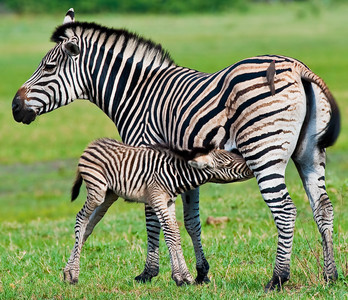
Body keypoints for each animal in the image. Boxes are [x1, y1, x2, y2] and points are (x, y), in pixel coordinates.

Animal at [64, 137, 250, 284]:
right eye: (227, 163)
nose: (250, 167)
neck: (175, 175)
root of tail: (92, 144)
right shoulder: (157, 199)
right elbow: (170, 233)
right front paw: (181, 278)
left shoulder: (169, 202)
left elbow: (175, 233)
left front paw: (185, 276)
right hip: (97, 191)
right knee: (80, 219)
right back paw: (73, 275)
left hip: (109, 195)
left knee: (88, 225)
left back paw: (67, 272)